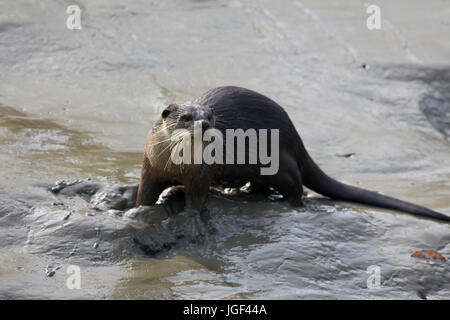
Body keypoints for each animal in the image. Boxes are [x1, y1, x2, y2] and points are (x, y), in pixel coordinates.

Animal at [136, 86, 450, 224]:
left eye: (210, 117)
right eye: (186, 117)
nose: (204, 125)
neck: (175, 166)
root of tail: (295, 136)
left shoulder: (201, 174)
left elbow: (198, 196)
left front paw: (189, 215)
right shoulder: (150, 166)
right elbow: (145, 192)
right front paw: (140, 210)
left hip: (280, 163)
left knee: (295, 185)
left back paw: (286, 203)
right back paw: (236, 190)